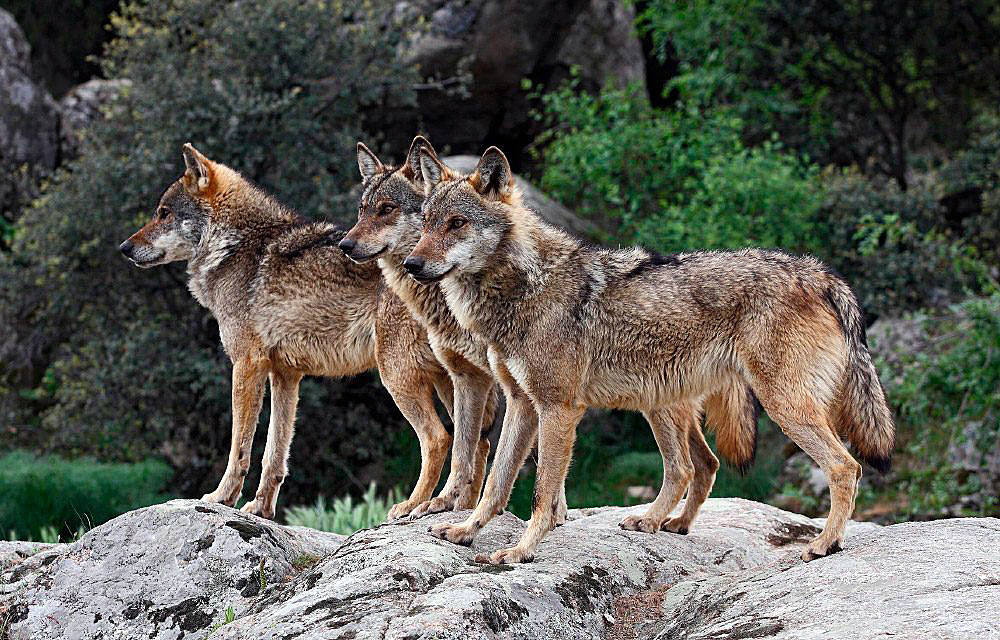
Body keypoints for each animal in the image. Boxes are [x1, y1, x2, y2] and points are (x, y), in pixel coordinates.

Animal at [402, 146, 896, 564]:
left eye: (456, 223)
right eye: (425, 223)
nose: (410, 264)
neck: (525, 285)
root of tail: (821, 273)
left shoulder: (559, 408)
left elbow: (542, 492)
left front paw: (522, 551)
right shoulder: (522, 403)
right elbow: (496, 482)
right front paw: (465, 530)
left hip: (779, 407)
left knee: (845, 467)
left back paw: (824, 544)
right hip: (661, 401)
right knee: (689, 468)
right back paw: (661, 522)